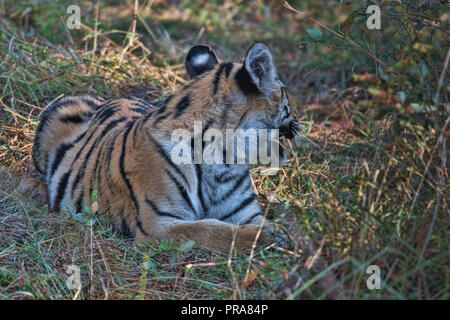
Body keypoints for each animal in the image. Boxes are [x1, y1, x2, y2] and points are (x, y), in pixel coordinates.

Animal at [22, 43, 300, 252]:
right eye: (285, 93)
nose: (299, 122)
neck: (225, 160)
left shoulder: (247, 214)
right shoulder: (159, 224)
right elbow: (210, 230)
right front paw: (274, 238)